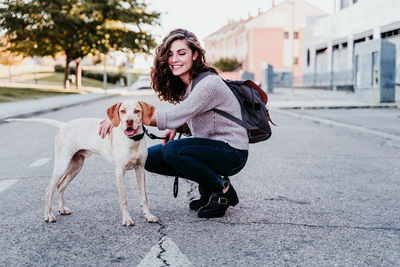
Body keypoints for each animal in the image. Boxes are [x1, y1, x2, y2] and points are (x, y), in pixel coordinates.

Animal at [5, 101, 158, 227]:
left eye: (137, 111)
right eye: (123, 111)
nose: (129, 121)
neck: (132, 141)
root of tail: (64, 125)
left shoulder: (140, 169)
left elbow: (144, 197)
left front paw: (149, 216)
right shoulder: (119, 172)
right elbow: (123, 198)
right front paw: (126, 219)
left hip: (76, 166)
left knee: (60, 186)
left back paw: (62, 209)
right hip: (62, 164)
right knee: (49, 189)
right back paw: (48, 215)